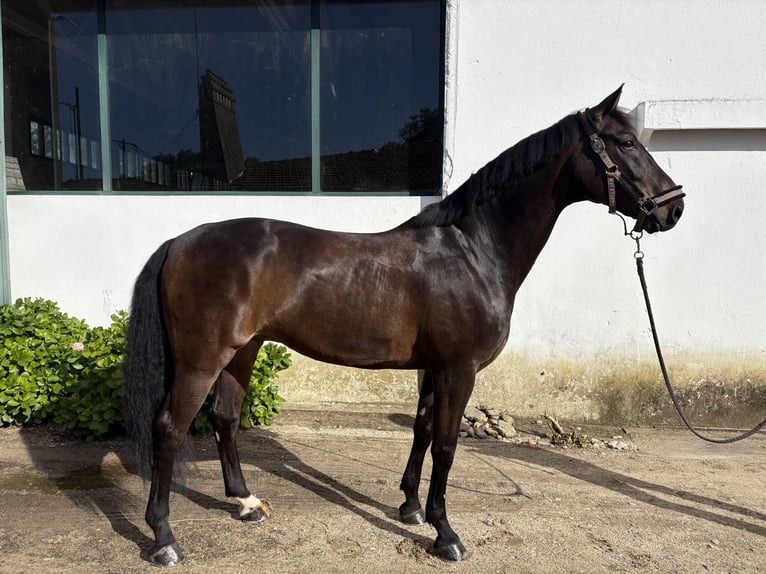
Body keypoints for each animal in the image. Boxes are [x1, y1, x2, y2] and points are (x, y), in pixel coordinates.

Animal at [124, 86, 685, 566]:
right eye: (626, 143)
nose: (674, 206)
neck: (472, 251)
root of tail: (180, 241)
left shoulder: (433, 368)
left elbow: (421, 430)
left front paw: (411, 508)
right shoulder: (460, 369)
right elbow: (448, 445)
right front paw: (446, 533)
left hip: (243, 350)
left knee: (224, 418)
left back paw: (244, 503)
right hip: (202, 359)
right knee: (169, 429)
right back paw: (164, 539)